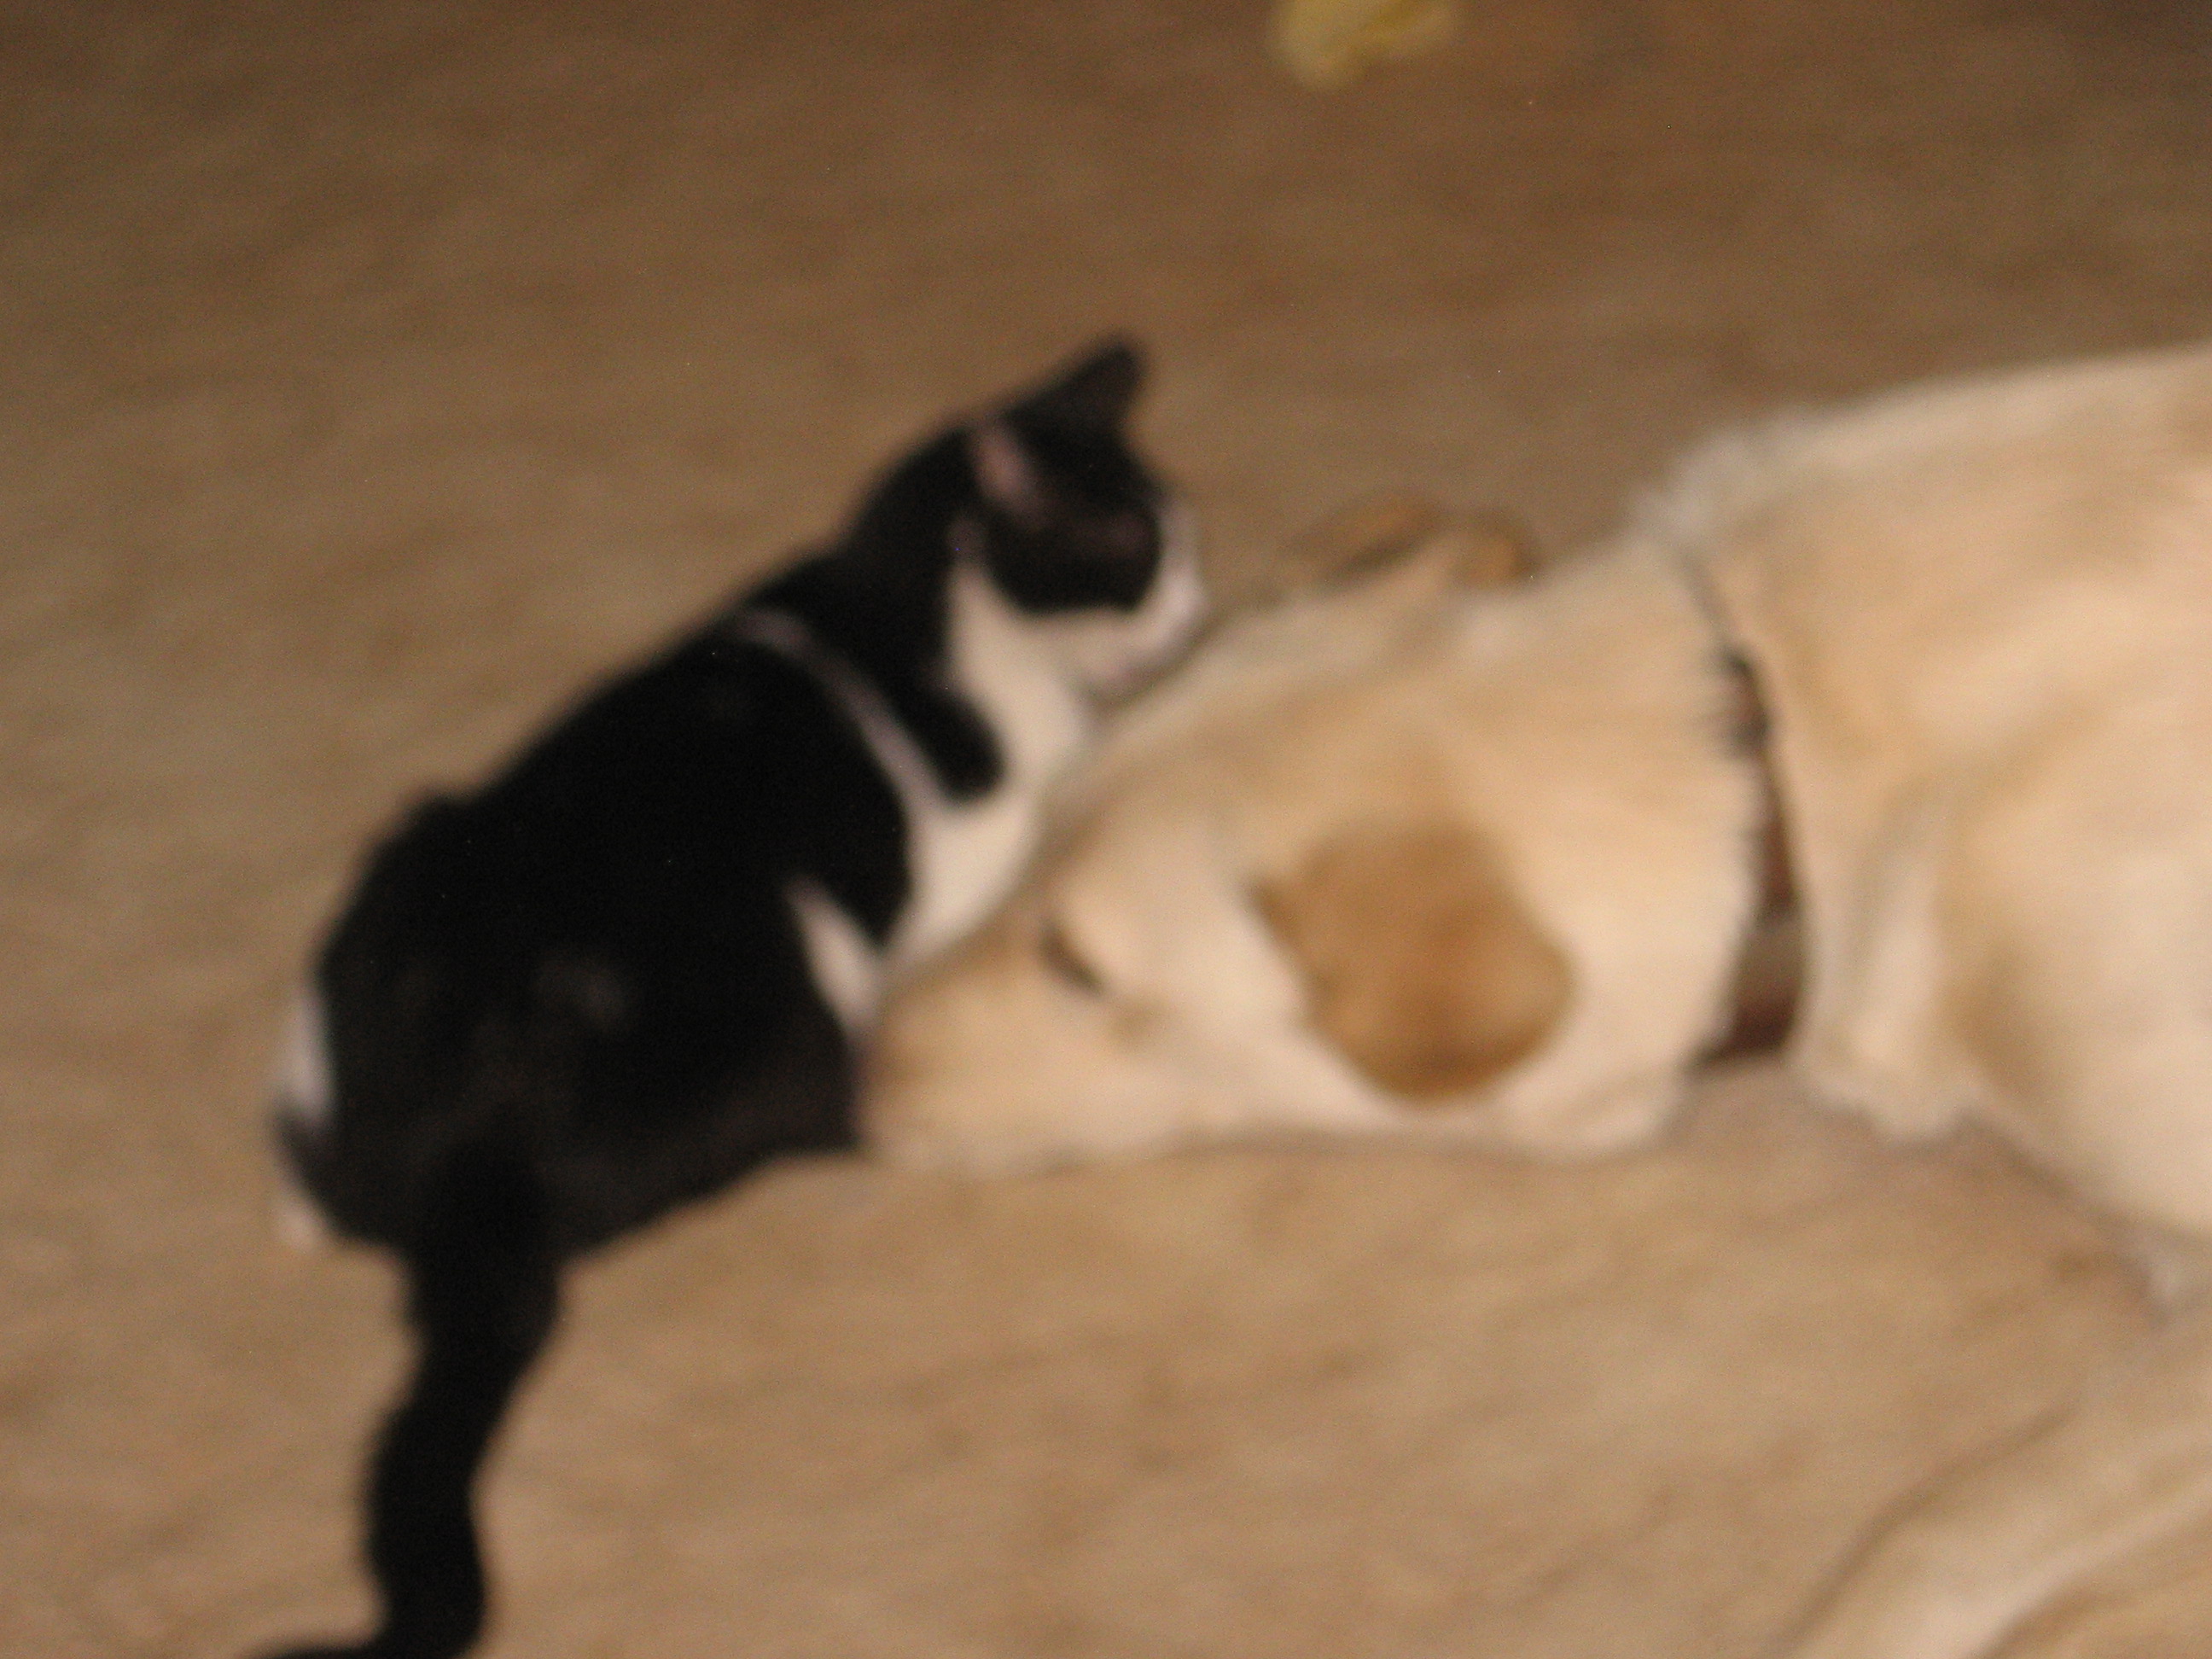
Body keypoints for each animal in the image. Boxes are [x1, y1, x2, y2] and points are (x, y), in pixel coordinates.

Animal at [262, 339, 1203, 1659]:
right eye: (1132, 546)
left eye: (1175, 543)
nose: (1194, 608)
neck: (918, 601)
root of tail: (467, 1164)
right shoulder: (973, 845)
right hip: (789, 954)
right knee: (815, 1110)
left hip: (394, 878)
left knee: (314, 1186)